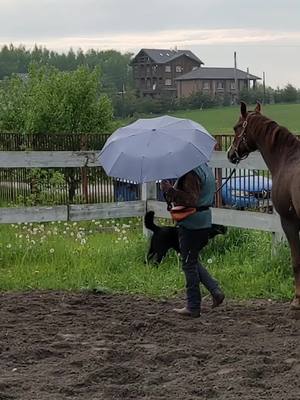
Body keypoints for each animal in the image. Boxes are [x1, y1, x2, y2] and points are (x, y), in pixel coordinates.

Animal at [227, 102, 300, 310]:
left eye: (236, 127)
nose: (230, 154)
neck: (287, 159)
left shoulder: (289, 221)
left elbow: (296, 261)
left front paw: (297, 300)